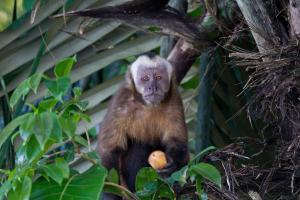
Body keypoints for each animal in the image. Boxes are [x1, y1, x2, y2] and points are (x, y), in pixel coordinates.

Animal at [98, 54, 188, 199]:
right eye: (145, 78)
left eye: (158, 77)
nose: (152, 87)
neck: (147, 105)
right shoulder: (121, 102)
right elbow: (109, 149)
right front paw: (110, 195)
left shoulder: (174, 99)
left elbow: (177, 141)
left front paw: (172, 164)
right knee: (139, 145)